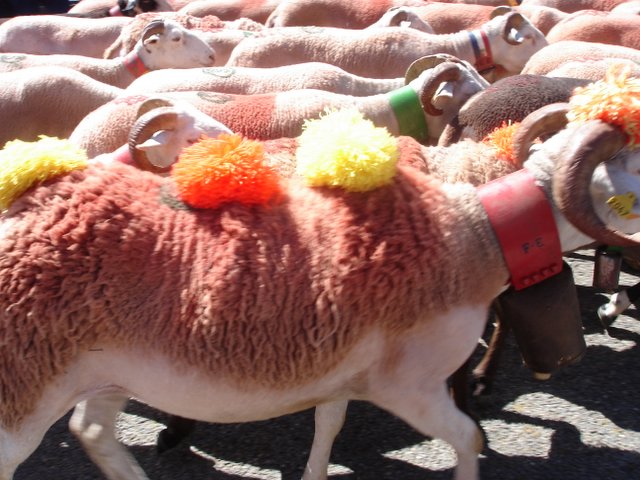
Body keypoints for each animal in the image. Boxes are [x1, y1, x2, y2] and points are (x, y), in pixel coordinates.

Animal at [1, 86, 639, 480]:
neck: (475, 229)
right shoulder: (407, 385)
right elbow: (467, 441)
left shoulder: (340, 364)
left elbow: (328, 425)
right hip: (26, 388)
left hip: (106, 374)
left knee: (90, 428)